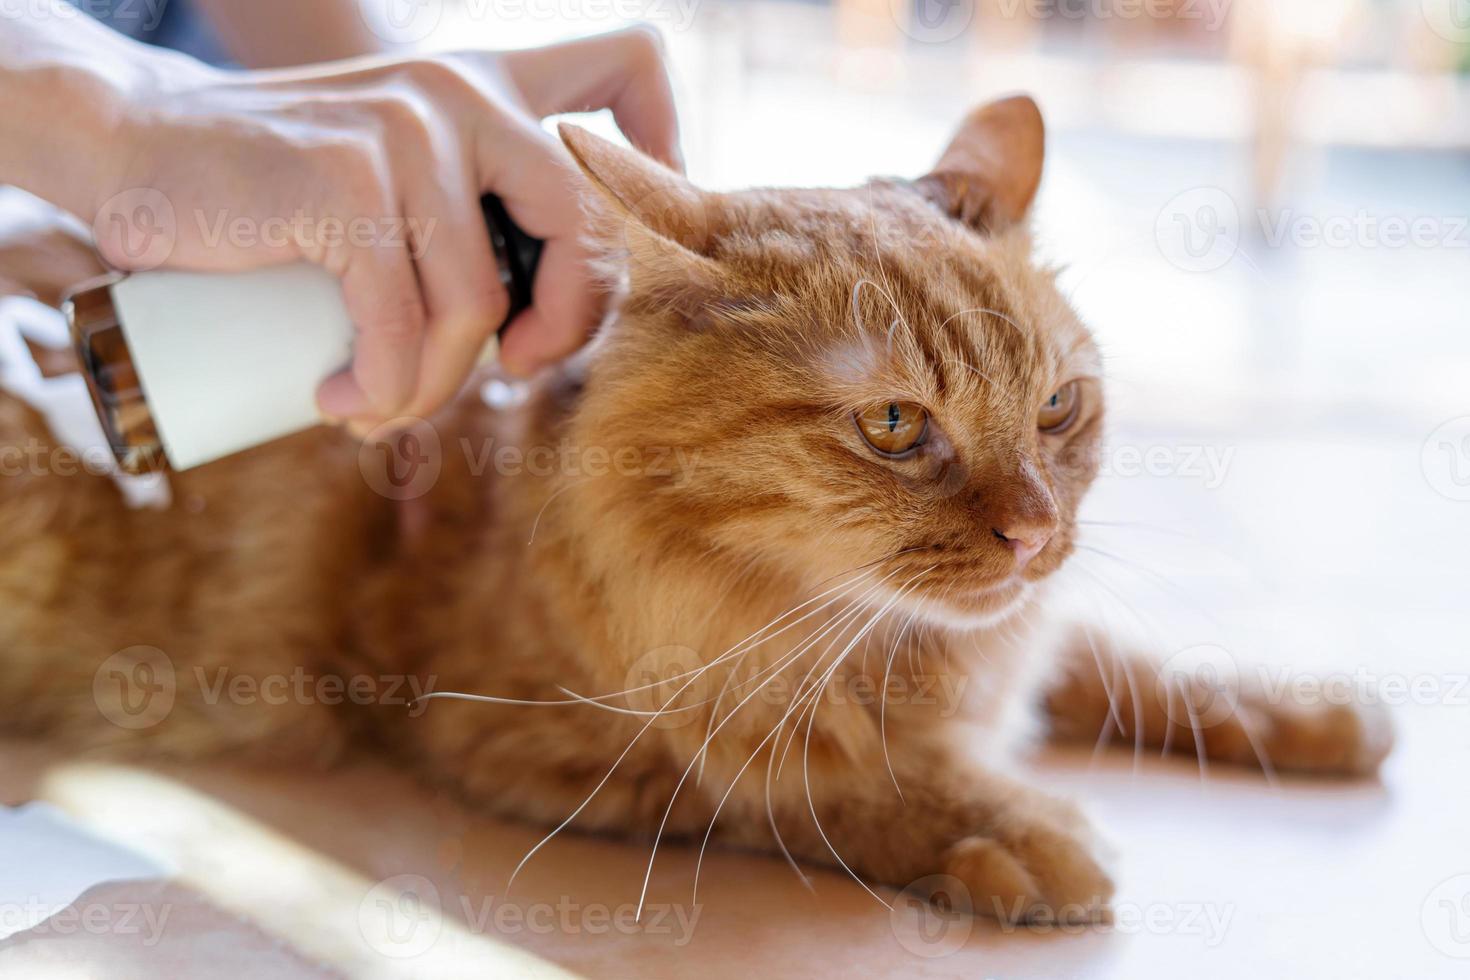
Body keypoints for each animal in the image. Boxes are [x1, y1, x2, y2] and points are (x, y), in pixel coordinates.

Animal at [0, 99, 1387, 928]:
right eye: (896, 426)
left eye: (1057, 408)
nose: (1039, 534)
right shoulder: (516, 735)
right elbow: (809, 773)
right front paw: (1005, 827)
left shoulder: (1029, 640)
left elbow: (1128, 665)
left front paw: (1308, 713)